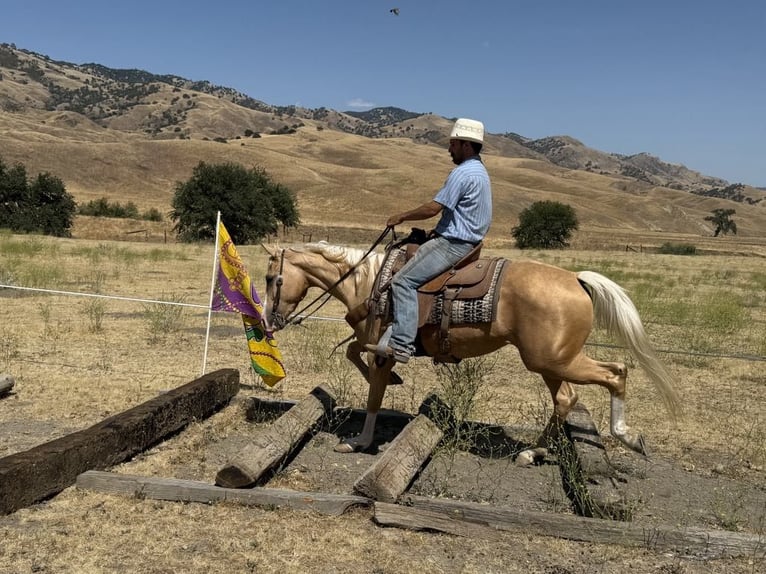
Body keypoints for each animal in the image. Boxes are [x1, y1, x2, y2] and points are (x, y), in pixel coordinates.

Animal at [262, 241, 681, 463]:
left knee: (615, 373)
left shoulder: (383, 349)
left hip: (551, 359)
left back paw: (625, 435)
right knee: (568, 397)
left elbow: (373, 395)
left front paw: (360, 442)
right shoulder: (369, 343)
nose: (269, 320)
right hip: (551, 362)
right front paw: (394, 381)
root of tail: (577, 280)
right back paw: (533, 452)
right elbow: (353, 354)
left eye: (271, 278)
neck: (370, 284)